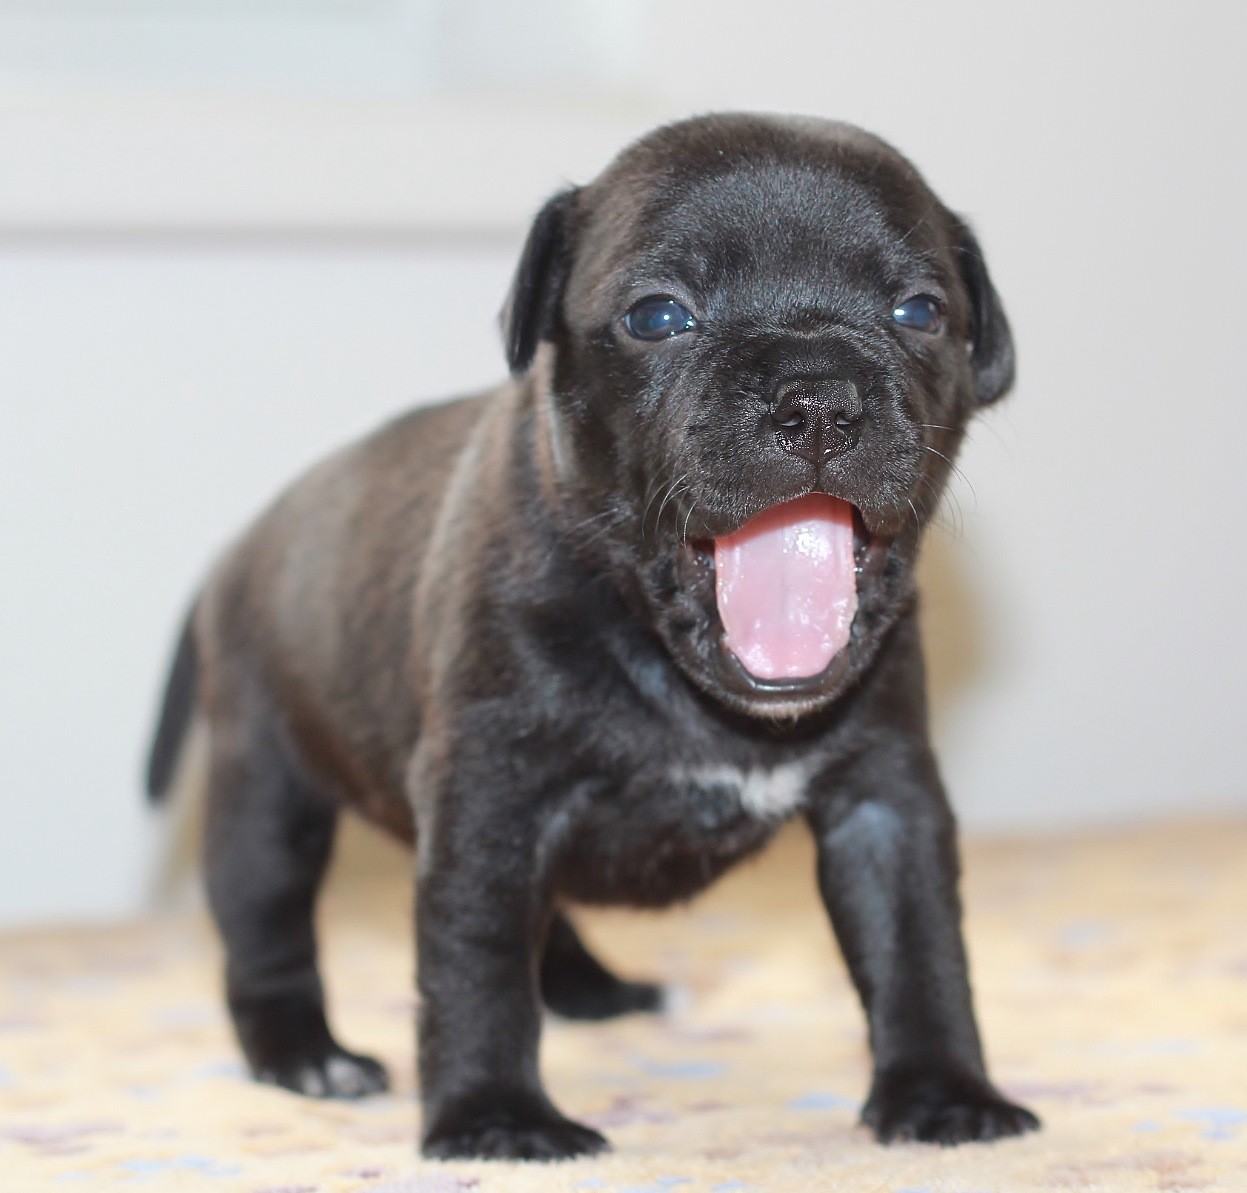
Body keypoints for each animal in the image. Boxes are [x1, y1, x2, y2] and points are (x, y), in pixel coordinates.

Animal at [145, 111, 1037, 1156]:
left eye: (918, 311)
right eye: (657, 316)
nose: (818, 397)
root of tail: (240, 544)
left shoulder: (884, 802)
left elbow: (918, 947)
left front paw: (942, 1090)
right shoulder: (491, 798)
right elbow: (477, 961)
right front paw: (493, 1115)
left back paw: (589, 987)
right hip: (264, 792)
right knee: (268, 928)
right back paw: (304, 1055)